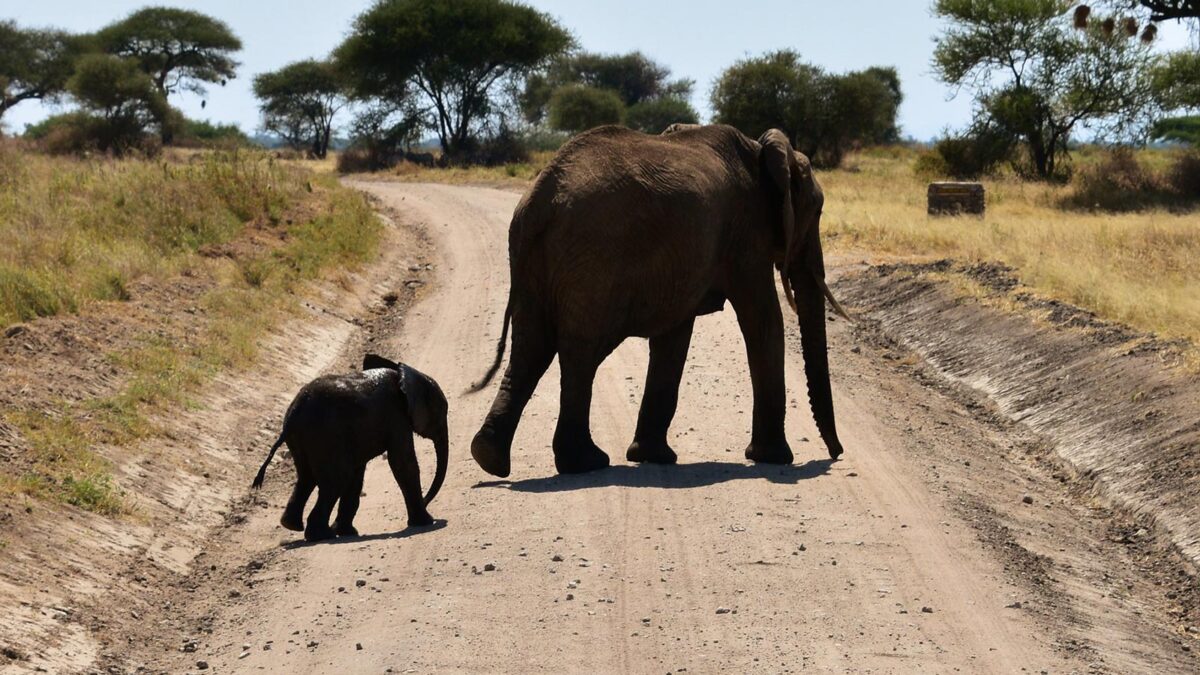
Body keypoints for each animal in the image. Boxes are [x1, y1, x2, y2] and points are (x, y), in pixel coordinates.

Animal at [250, 355, 448, 538]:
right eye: (441, 412)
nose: (426, 501)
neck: (402, 375)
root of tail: (293, 416)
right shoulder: (396, 417)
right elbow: (403, 463)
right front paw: (426, 522)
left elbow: (357, 474)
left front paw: (346, 532)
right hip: (323, 435)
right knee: (336, 479)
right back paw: (321, 535)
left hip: (304, 439)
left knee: (308, 478)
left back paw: (292, 525)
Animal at [465, 123, 844, 475]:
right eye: (818, 211)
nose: (836, 454)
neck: (761, 150)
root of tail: (540, 198)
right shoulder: (748, 235)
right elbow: (763, 320)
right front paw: (775, 459)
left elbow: (673, 336)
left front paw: (652, 457)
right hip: (592, 258)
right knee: (578, 352)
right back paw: (586, 462)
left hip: (532, 258)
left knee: (531, 348)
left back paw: (490, 457)